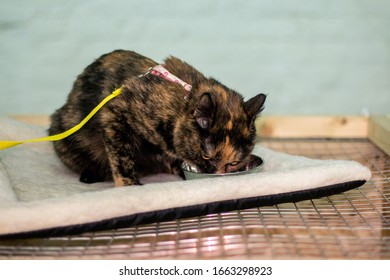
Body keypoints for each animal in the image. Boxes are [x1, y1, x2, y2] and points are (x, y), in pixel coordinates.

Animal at [48, 50, 266, 186]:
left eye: (232, 163)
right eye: (206, 156)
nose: (216, 174)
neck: (183, 101)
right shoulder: (115, 113)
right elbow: (122, 157)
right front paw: (129, 184)